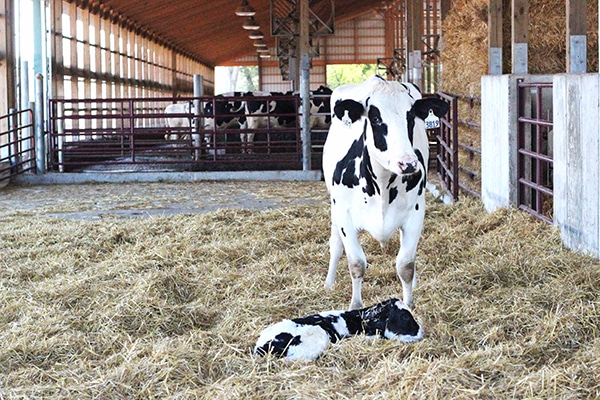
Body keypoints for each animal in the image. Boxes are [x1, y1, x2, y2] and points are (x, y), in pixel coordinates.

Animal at [322, 75, 448, 310]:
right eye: (375, 118)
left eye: (411, 117)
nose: (408, 163)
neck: (381, 184)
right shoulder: (344, 214)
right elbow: (356, 263)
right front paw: (355, 305)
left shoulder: (416, 212)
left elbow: (406, 264)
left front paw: (409, 304)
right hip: (334, 208)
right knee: (335, 245)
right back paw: (329, 283)